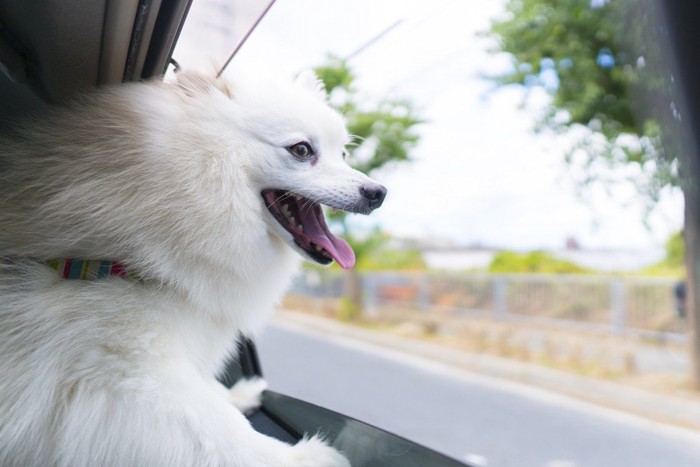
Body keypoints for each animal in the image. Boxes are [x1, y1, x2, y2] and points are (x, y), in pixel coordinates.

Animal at [0, 70, 388, 467]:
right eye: (301, 150)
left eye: (343, 154)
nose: (378, 192)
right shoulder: (122, 369)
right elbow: (222, 431)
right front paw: (309, 456)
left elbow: (214, 396)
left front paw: (240, 394)